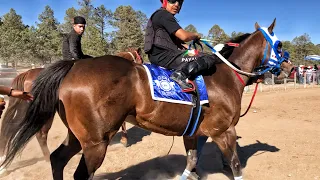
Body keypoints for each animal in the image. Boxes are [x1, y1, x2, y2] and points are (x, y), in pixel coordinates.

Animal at [0, 47, 142, 166]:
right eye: (139, 57)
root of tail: (27, 74)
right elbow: (123, 122)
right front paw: (124, 140)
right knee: (40, 134)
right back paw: (47, 159)